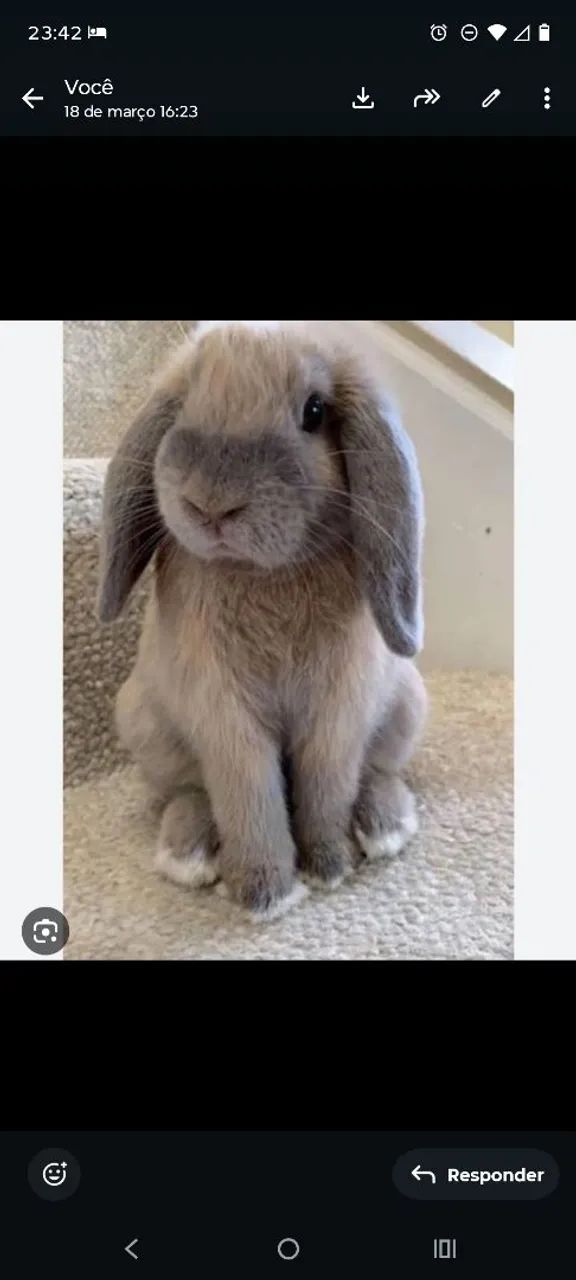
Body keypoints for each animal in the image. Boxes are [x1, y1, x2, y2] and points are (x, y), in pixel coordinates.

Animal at [98, 321, 427, 921]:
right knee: (187, 791)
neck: (261, 572)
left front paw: (329, 867)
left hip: (406, 708)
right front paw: (263, 894)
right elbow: (249, 795)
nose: (211, 504)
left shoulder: (339, 709)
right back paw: (189, 851)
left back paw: (384, 824)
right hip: (143, 722)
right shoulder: (224, 716)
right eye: (185, 402)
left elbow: (327, 784)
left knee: (378, 771)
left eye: (315, 411)